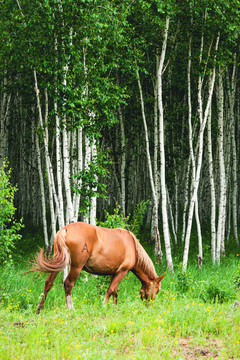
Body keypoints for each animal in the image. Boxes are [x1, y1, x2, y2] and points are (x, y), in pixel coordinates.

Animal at [30, 222, 166, 312]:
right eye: (157, 290)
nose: (149, 306)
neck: (132, 246)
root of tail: (66, 229)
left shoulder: (113, 272)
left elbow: (115, 290)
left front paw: (115, 307)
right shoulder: (122, 271)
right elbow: (110, 290)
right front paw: (104, 306)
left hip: (58, 263)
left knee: (48, 283)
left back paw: (39, 309)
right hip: (76, 267)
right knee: (68, 284)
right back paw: (71, 309)